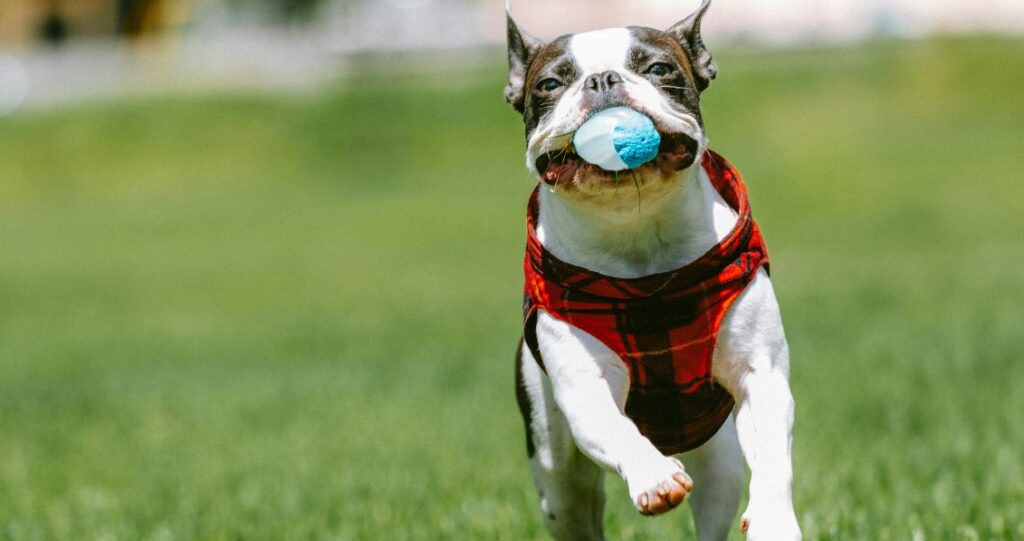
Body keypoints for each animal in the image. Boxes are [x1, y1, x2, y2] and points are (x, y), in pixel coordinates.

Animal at [507, 2, 802, 536]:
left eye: (659, 69)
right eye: (550, 84)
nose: (603, 79)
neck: (638, 233)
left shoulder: (761, 372)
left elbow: (773, 451)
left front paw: (773, 518)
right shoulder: (583, 385)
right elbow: (615, 427)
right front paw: (653, 476)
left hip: (719, 457)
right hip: (556, 475)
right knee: (575, 502)